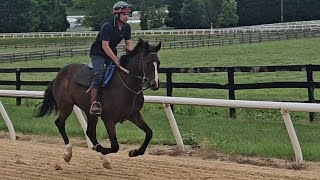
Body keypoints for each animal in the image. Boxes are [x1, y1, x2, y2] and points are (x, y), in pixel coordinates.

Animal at [35, 38, 161, 169]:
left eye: (158, 63)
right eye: (148, 63)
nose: (154, 84)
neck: (126, 85)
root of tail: (60, 73)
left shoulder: (134, 115)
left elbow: (149, 133)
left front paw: (134, 152)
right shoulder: (108, 119)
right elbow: (115, 146)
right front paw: (101, 148)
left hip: (90, 112)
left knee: (89, 131)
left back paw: (103, 159)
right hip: (66, 106)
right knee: (60, 123)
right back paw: (68, 153)